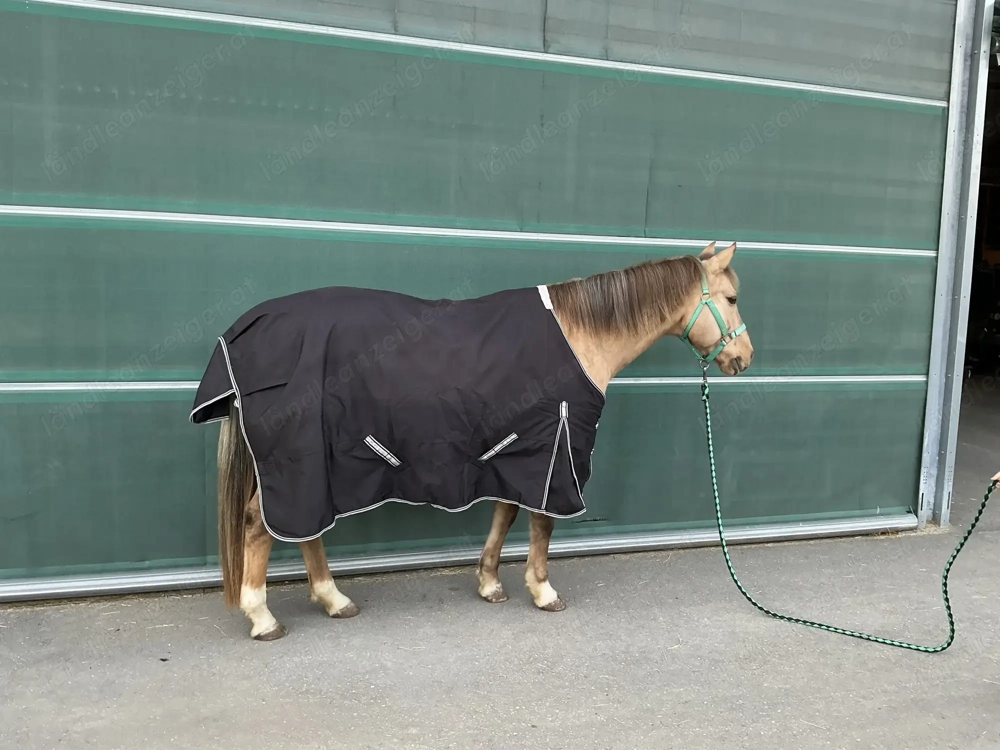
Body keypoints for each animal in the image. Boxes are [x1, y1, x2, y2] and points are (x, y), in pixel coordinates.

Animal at [195, 240, 753, 640]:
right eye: (730, 299)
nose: (743, 358)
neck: (579, 335)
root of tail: (247, 329)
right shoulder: (556, 451)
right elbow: (541, 524)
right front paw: (543, 590)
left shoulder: (518, 451)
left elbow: (504, 515)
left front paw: (489, 584)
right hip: (297, 459)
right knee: (260, 525)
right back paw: (263, 617)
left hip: (317, 466)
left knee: (301, 527)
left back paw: (334, 600)